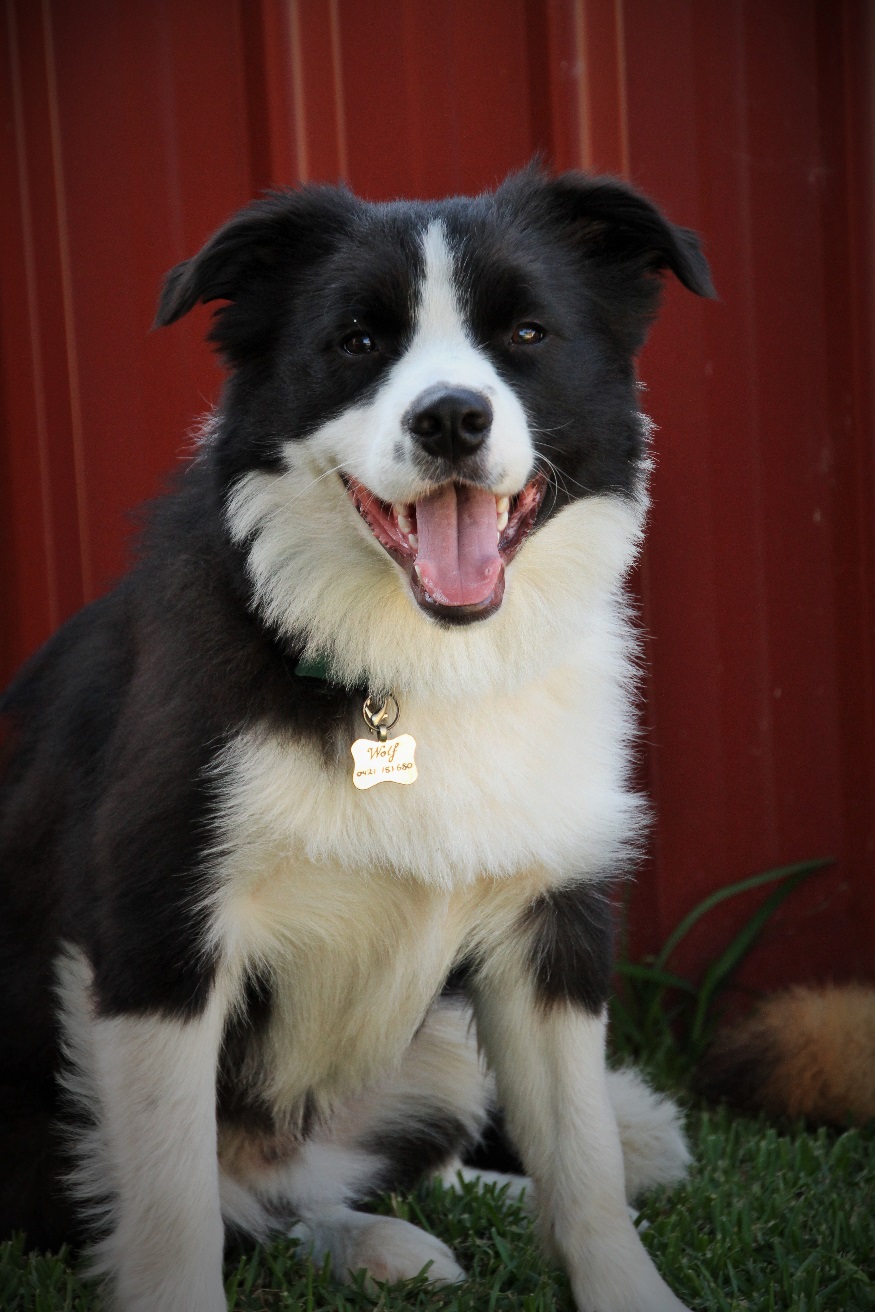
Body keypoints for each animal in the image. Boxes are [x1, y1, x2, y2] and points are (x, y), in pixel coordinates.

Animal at [0, 169, 713, 1306]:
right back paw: (378, 1241)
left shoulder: (548, 923)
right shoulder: (155, 929)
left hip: (448, 1028)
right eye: (357, 340)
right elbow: (173, 1209)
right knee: (240, 1207)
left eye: (526, 332)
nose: (451, 418)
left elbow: (584, 1168)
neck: (417, 663)